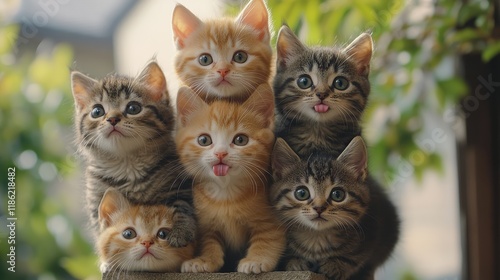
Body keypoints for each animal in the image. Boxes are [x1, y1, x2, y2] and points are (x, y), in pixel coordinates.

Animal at [71, 60, 195, 247]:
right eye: (97, 111)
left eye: (133, 108)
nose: (112, 119)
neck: (127, 165)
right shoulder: (95, 201)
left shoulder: (179, 186)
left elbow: (183, 208)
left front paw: (180, 232)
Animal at [175, 85, 286, 274]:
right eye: (204, 140)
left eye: (240, 139)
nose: (221, 153)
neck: (226, 194)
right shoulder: (206, 224)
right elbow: (209, 242)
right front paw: (204, 260)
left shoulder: (270, 221)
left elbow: (268, 239)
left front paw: (256, 260)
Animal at [270, 136, 398, 280]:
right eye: (302, 193)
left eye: (337, 194)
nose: (319, 208)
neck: (316, 237)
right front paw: (295, 263)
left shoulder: (376, 229)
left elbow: (357, 257)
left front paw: (336, 265)